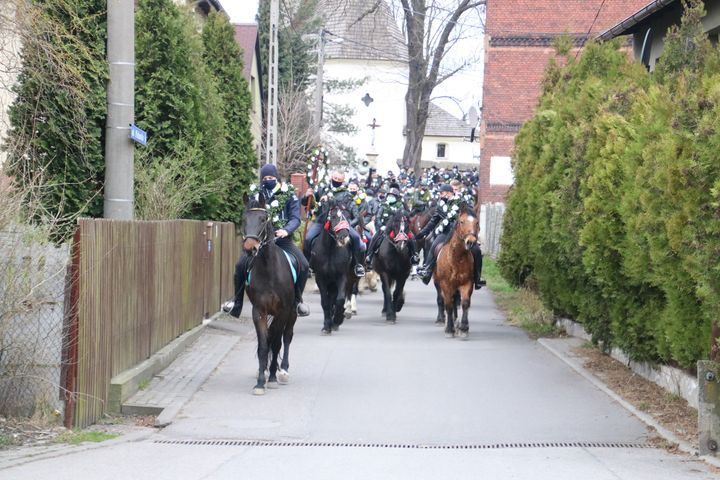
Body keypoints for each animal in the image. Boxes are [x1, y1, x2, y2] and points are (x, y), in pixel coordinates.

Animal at [242, 195, 298, 394]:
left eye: (263, 219)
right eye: (244, 219)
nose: (250, 248)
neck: (269, 269)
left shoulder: (283, 311)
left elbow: (276, 342)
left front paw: (273, 377)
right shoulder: (259, 311)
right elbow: (263, 346)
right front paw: (260, 381)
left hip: (293, 312)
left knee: (287, 337)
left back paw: (284, 370)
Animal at [310, 202, 354, 334]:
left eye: (348, 217)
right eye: (333, 216)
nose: (344, 237)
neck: (329, 249)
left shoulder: (341, 277)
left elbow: (339, 300)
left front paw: (337, 320)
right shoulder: (320, 278)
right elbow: (325, 302)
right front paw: (326, 326)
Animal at [434, 204, 478, 340]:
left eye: (477, 222)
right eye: (461, 221)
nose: (471, 242)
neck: (457, 258)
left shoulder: (467, 283)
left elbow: (465, 303)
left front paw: (463, 328)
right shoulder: (446, 284)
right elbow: (448, 304)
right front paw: (449, 329)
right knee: (447, 301)